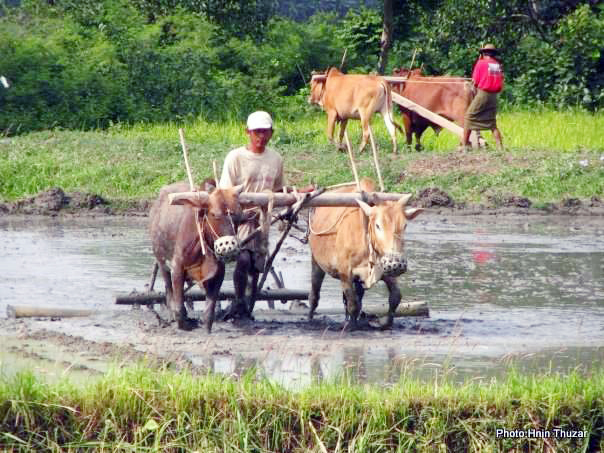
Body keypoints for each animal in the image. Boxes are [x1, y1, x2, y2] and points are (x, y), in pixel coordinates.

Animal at [150, 180, 244, 332]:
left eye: (239, 216)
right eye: (214, 214)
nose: (230, 248)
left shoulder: (219, 271)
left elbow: (210, 307)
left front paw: (206, 327)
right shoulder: (177, 267)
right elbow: (179, 304)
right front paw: (183, 324)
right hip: (161, 261)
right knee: (169, 291)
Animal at [310, 177, 422, 328]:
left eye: (404, 225)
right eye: (378, 225)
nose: (397, 263)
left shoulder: (384, 270)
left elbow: (395, 297)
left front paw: (385, 322)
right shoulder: (345, 273)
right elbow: (352, 304)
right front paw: (351, 326)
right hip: (316, 261)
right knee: (314, 294)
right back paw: (310, 318)